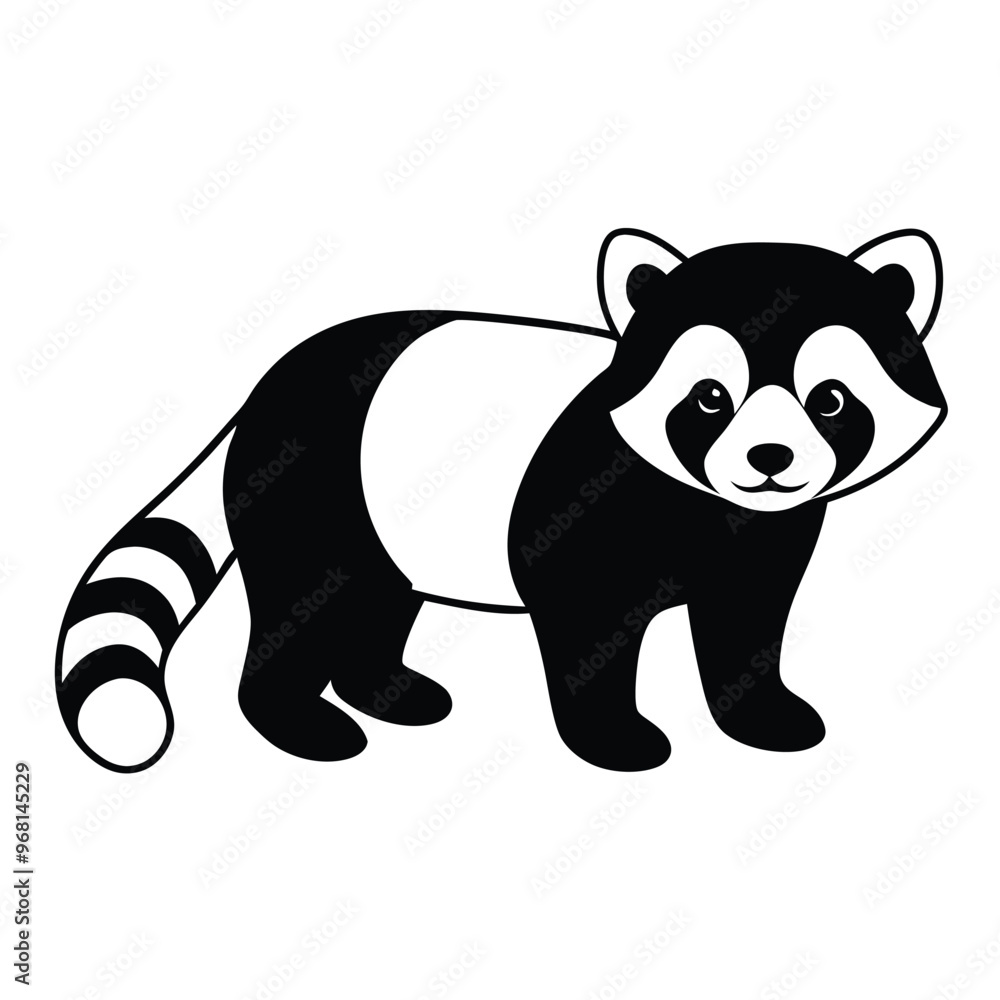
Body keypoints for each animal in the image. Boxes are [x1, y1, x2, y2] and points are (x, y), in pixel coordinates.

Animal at [55, 228, 947, 773]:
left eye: (829, 400)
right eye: (708, 399)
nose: (770, 459)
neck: (701, 499)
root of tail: (265, 388)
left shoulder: (763, 532)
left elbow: (746, 622)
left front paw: (760, 713)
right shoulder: (587, 503)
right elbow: (586, 624)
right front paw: (614, 735)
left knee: (380, 599)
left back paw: (388, 690)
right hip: (314, 482)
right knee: (303, 599)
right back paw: (300, 721)